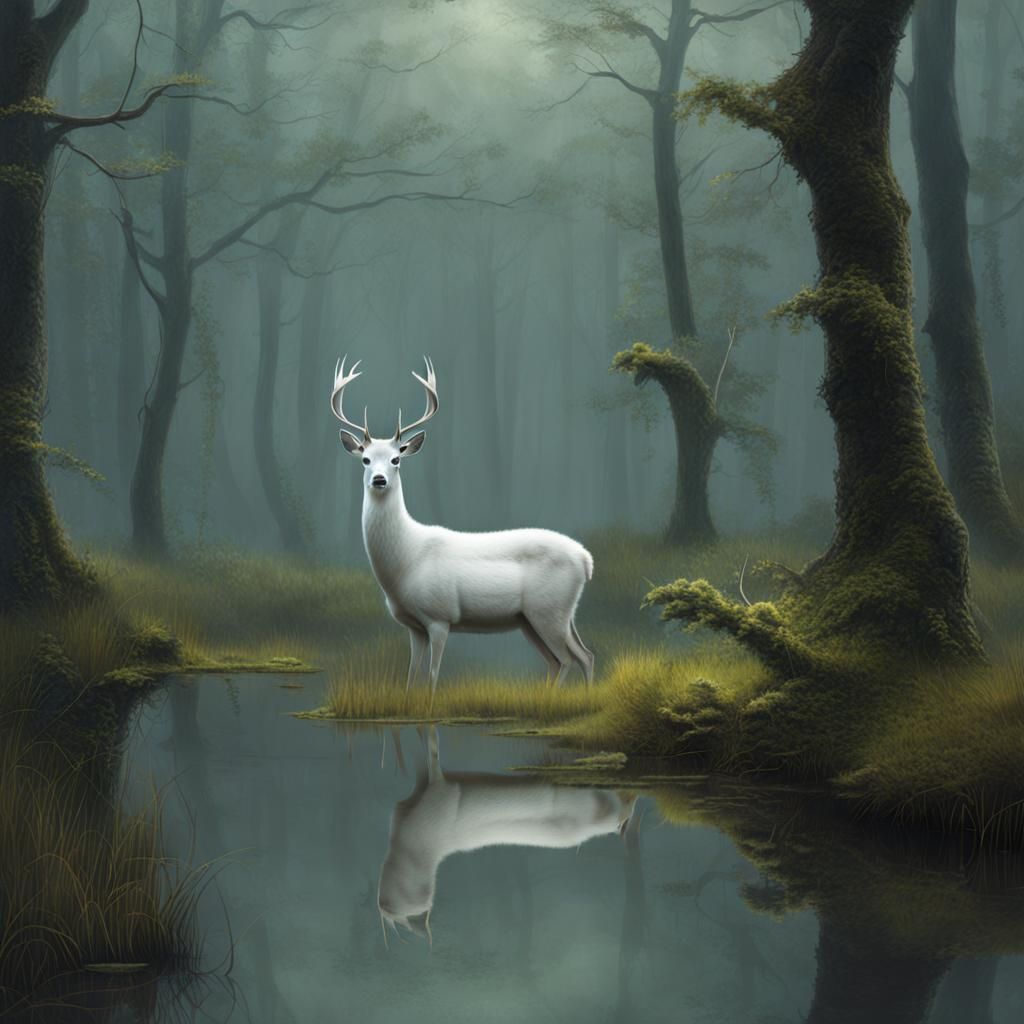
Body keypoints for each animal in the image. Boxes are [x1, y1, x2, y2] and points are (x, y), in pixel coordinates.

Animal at [331, 356, 595, 695]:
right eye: (365, 459)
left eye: (395, 460)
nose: (379, 479)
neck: (406, 559)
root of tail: (585, 559)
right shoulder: (413, 625)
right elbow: (410, 677)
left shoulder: (440, 615)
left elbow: (432, 677)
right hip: (540, 617)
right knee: (577, 656)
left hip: (548, 610)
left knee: (568, 658)